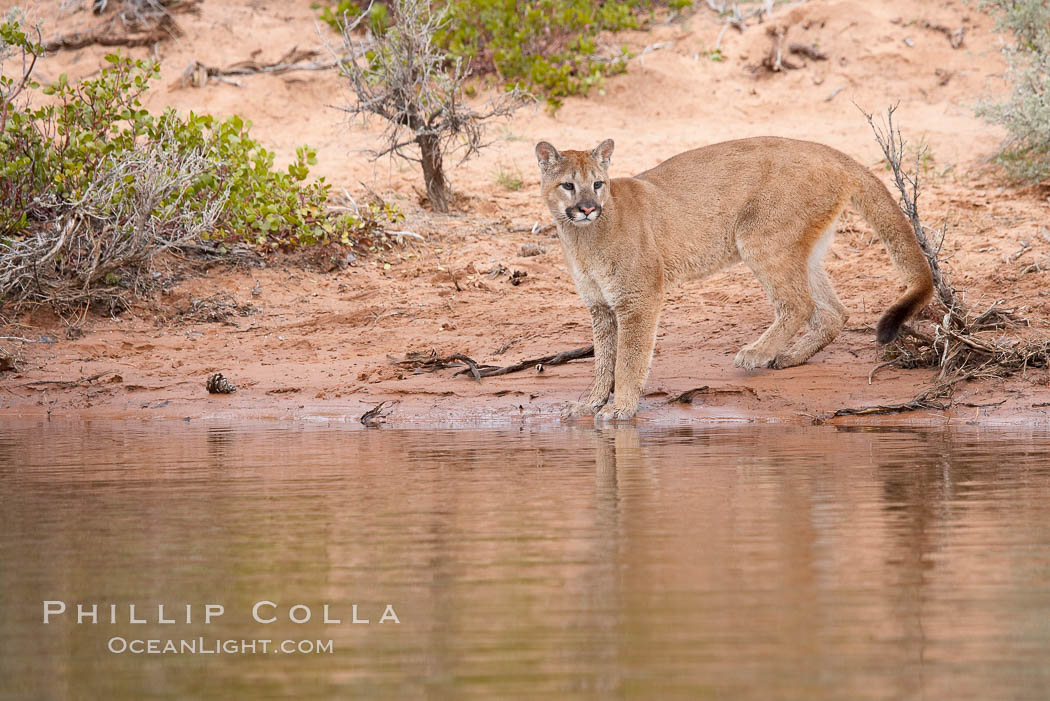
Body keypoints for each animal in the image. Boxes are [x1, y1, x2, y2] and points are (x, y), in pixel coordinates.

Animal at [537, 137, 932, 421]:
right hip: (802, 248)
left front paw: (620, 408)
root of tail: (826, 149)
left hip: (761, 238)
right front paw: (590, 404)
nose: (588, 208)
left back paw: (756, 354)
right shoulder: (600, 308)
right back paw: (788, 357)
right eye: (568, 185)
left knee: (799, 303)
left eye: (597, 184)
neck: (583, 238)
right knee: (833, 311)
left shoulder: (638, 299)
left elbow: (629, 358)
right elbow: (604, 360)